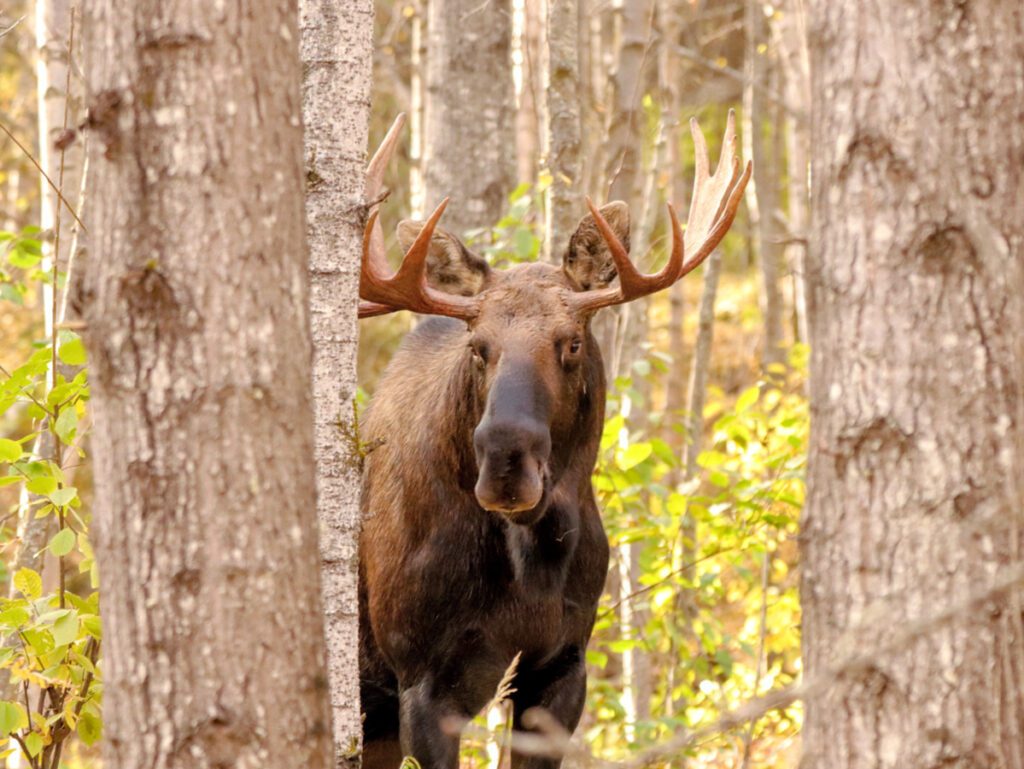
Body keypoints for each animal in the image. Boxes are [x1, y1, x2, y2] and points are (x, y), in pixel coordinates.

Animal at [356, 109, 749, 769]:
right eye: (478, 346)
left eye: (571, 342)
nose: (504, 461)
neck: (531, 559)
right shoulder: (420, 681)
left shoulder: (564, 663)